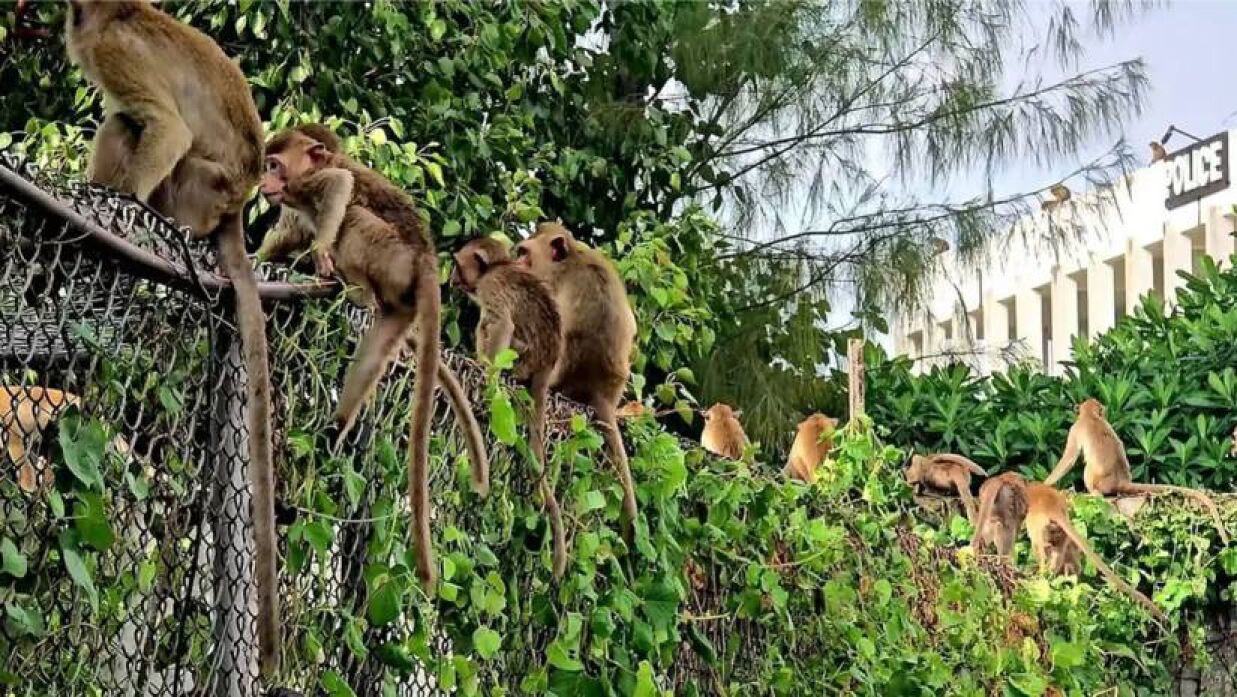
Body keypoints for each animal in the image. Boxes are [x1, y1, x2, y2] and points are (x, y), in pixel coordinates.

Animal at [63, 1, 283, 678]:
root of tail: (234, 208)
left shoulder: (113, 50)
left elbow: (168, 128)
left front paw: (121, 200)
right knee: (123, 122)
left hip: (192, 190)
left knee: (143, 130)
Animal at [455, 237, 569, 581]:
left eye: (458, 265)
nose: (452, 279)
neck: (498, 266)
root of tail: (547, 362)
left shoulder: (490, 286)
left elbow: (500, 324)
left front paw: (487, 371)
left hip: (521, 357)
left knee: (490, 325)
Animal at [1044, 398, 1227, 544]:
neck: (1092, 416)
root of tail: (1122, 481)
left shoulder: (1075, 429)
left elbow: (1069, 459)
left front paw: (1045, 483)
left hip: (1098, 481)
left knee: (1089, 471)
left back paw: (1093, 493)